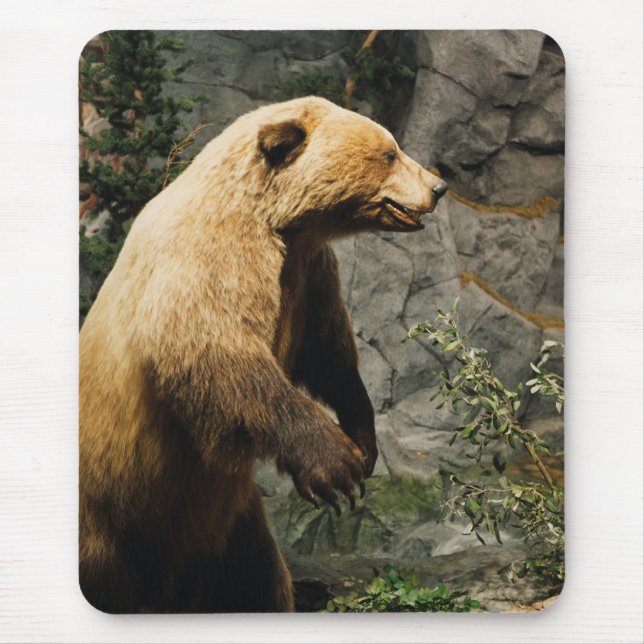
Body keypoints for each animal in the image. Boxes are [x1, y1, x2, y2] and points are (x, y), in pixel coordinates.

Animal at [79, 96, 448, 613]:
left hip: (228, 526)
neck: (280, 224)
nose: (438, 187)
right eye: (389, 152)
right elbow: (219, 353)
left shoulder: (309, 275)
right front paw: (335, 465)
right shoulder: (208, 258)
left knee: (254, 578)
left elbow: (329, 351)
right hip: (111, 516)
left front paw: (362, 438)